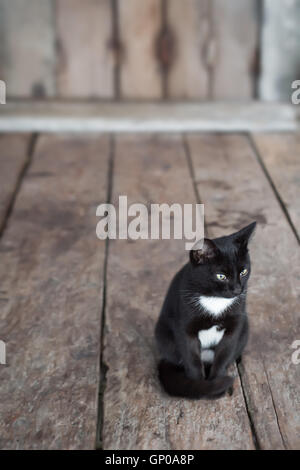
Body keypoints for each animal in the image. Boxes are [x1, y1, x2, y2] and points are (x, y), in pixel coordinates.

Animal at [155, 222, 255, 398]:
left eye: (244, 272)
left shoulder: (234, 326)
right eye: (221, 276)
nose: (237, 290)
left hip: (245, 328)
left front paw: (217, 384)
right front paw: (199, 387)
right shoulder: (185, 329)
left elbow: (223, 356)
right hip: (163, 334)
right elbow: (192, 360)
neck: (215, 300)